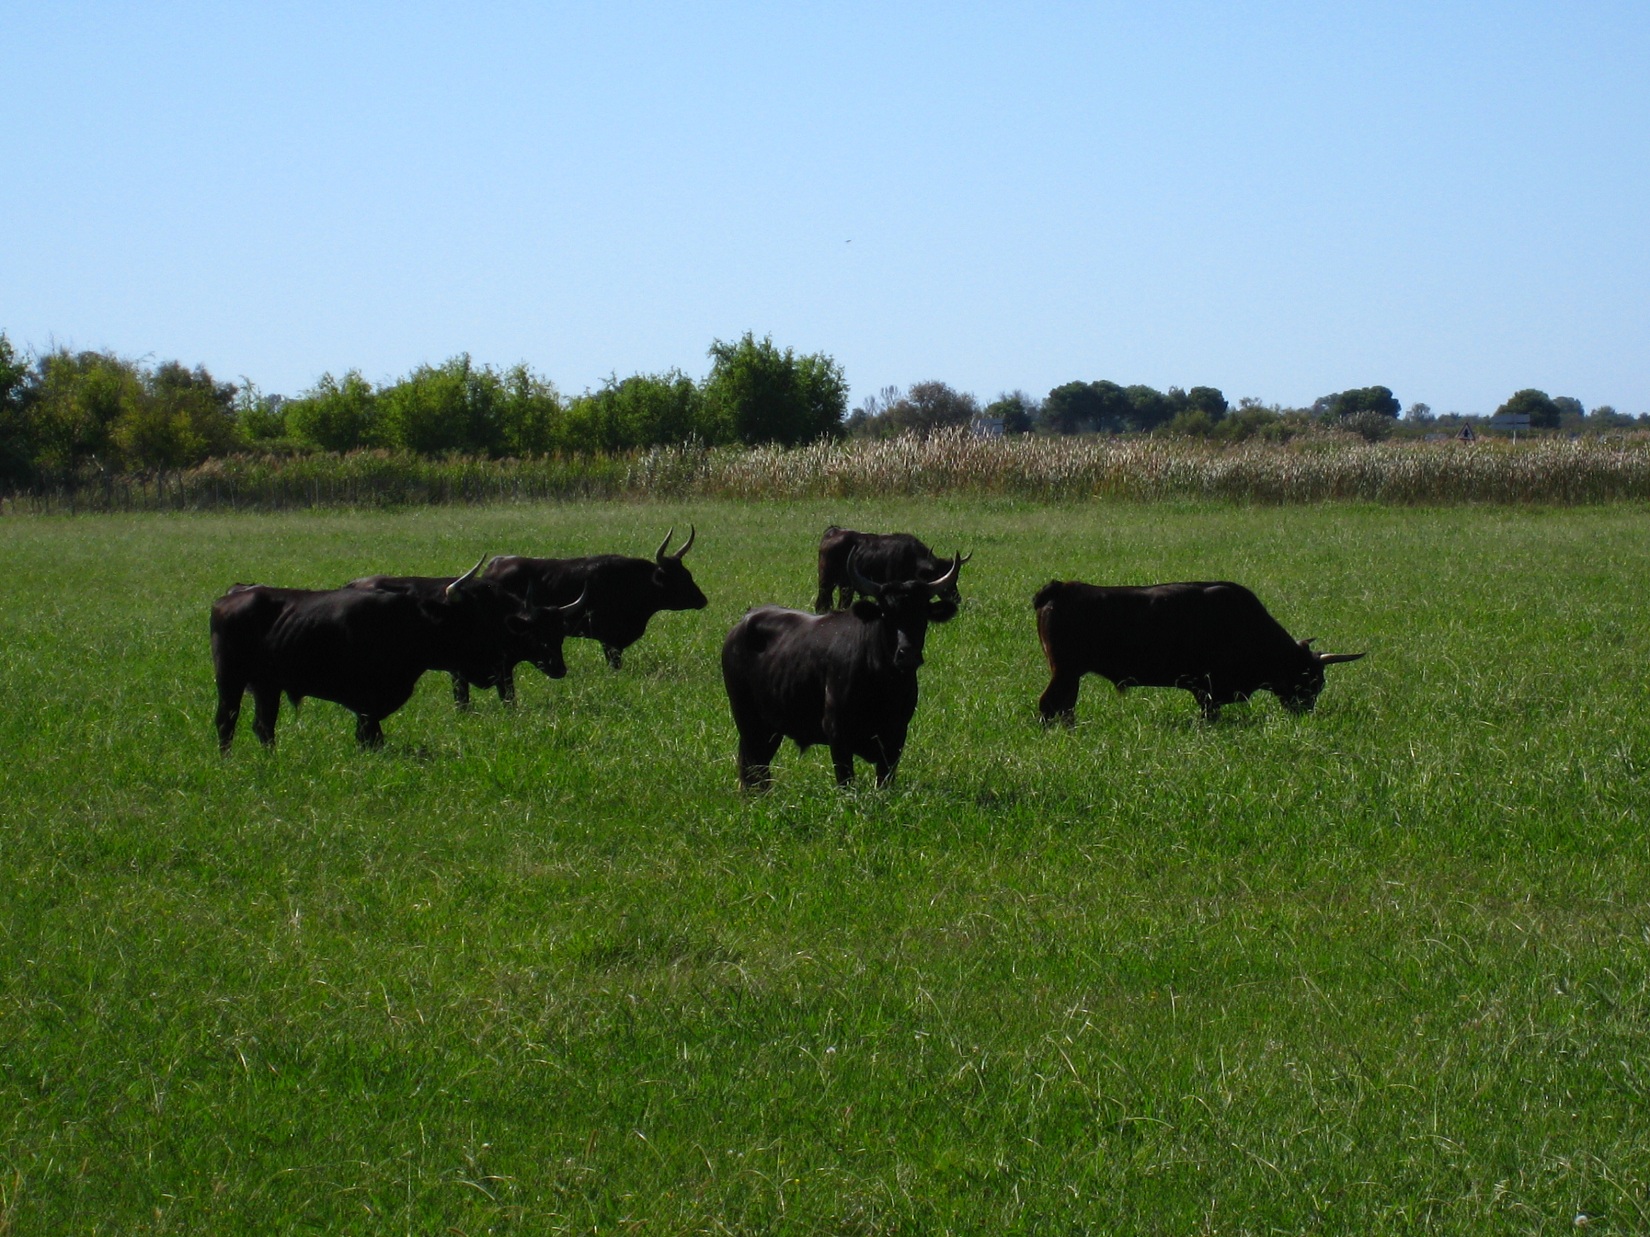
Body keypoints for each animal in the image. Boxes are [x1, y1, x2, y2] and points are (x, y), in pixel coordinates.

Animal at [211, 560, 587, 755]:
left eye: (560, 634)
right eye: (468, 619)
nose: (560, 668)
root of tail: (232, 595)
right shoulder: (367, 699)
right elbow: (370, 735)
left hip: (266, 687)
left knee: (263, 726)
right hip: (230, 681)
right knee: (226, 722)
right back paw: (229, 760)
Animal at [478, 524, 709, 689]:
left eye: (688, 574)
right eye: (678, 578)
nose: (702, 600)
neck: (631, 582)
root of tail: (495, 564)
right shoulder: (609, 641)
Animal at [722, 550, 963, 794]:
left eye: (922, 614)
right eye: (886, 614)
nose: (908, 654)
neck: (882, 684)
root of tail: (742, 624)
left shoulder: (896, 736)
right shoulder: (837, 734)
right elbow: (846, 781)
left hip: (771, 728)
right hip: (748, 720)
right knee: (752, 764)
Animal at [1029, 580, 1366, 725]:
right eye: (1311, 681)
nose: (1305, 713)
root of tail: (1061, 587)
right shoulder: (1209, 688)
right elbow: (1209, 713)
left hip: (1070, 675)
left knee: (1065, 707)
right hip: (1065, 672)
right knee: (1049, 705)